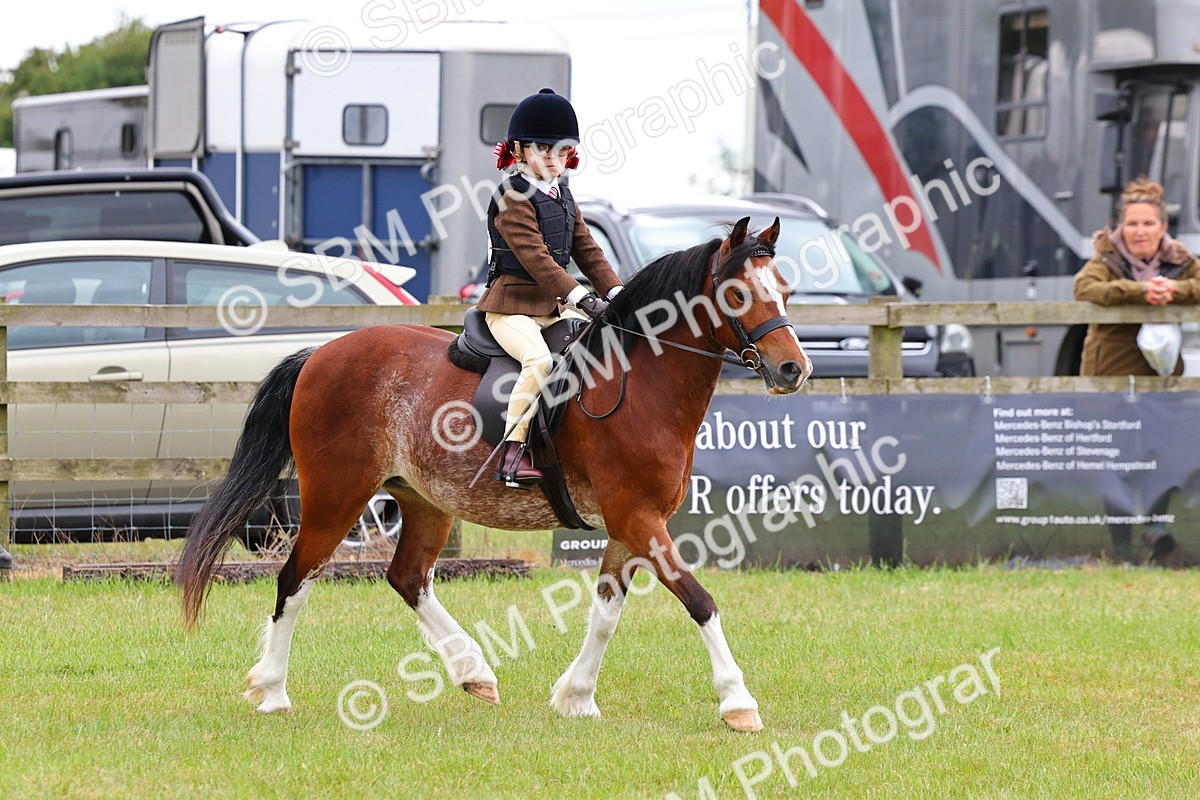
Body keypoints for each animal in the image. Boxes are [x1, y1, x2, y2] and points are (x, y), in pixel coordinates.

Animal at [176, 216, 812, 732]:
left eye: (783, 290)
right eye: (737, 293)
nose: (793, 370)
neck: (638, 383)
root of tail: (321, 353)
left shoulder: (629, 523)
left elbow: (606, 611)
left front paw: (577, 697)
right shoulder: (637, 516)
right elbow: (700, 600)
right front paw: (738, 704)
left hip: (426, 500)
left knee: (408, 577)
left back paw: (473, 671)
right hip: (337, 497)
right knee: (295, 580)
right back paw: (273, 692)